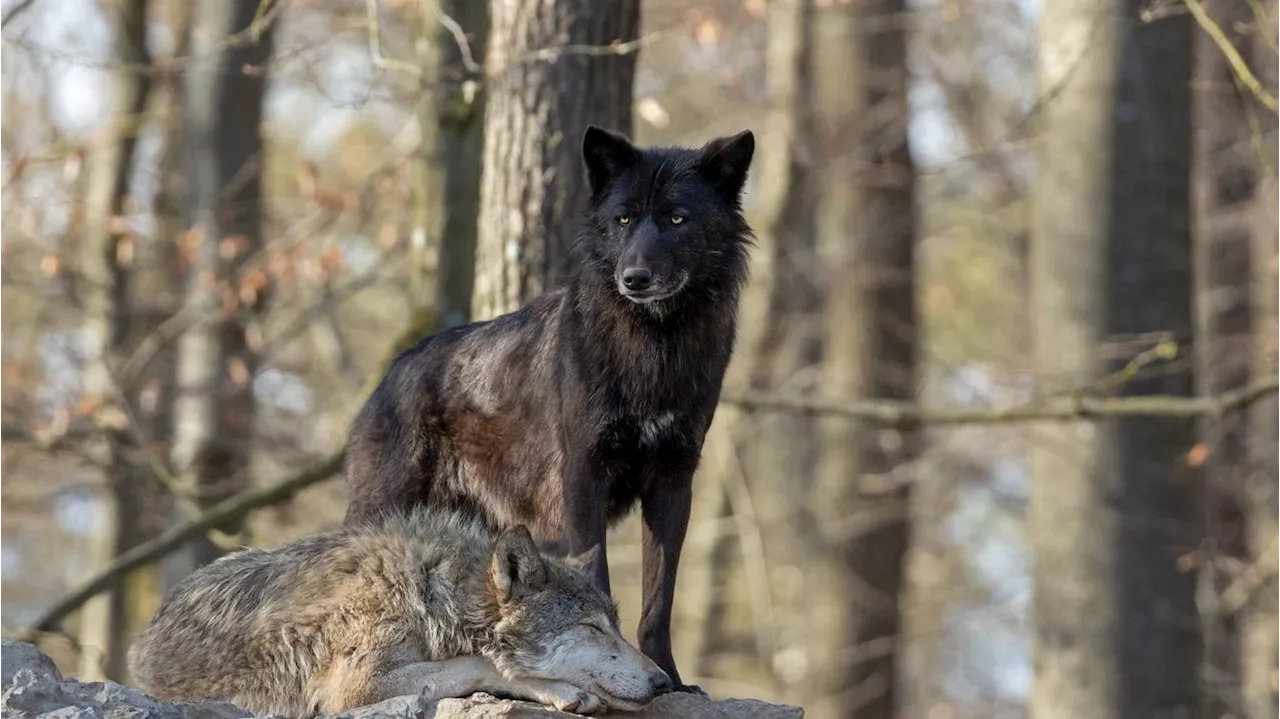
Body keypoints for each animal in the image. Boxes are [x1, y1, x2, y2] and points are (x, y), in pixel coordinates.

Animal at [127, 506, 670, 711]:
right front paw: (558, 689)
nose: (665, 681)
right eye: (593, 629)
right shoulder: (354, 686)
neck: (433, 594)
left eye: (615, 627)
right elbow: (482, 665)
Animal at [345, 124, 752, 690]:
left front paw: (670, 677)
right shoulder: (583, 476)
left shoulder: (673, 481)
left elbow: (658, 601)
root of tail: (391, 371)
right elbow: (597, 574)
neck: (653, 348)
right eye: (623, 218)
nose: (635, 277)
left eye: (677, 218)